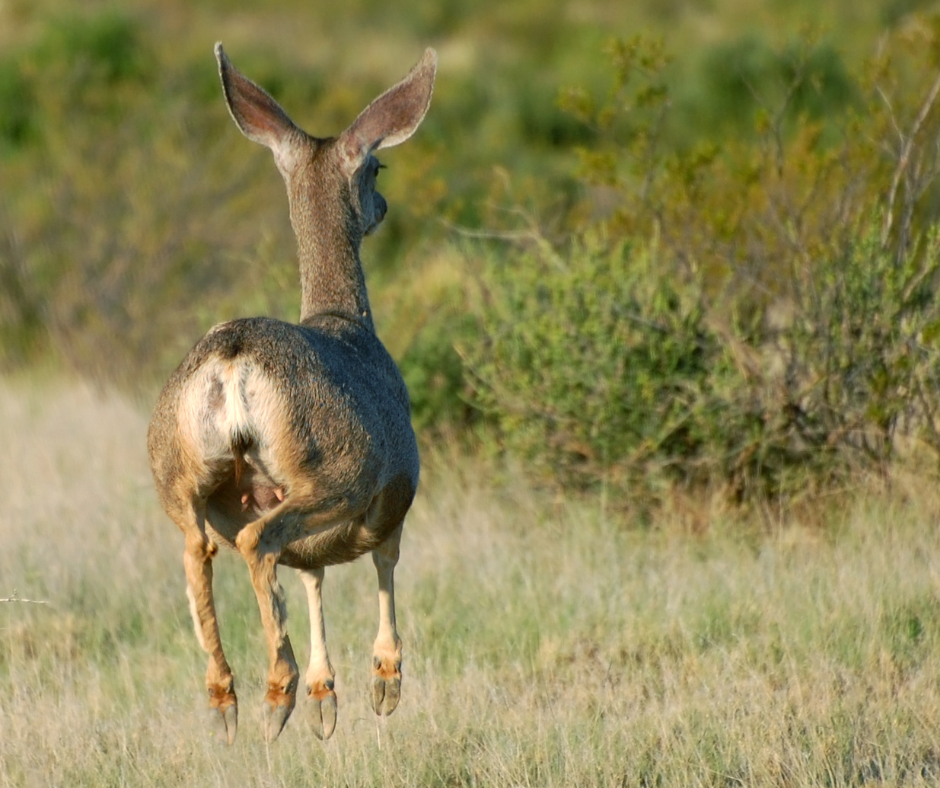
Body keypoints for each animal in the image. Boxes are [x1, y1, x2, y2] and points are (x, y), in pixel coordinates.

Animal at [147, 42, 436, 744]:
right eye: (378, 164)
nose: (385, 207)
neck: (346, 320)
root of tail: (230, 362)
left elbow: (313, 575)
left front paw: (326, 698)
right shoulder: (398, 488)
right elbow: (384, 561)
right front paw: (383, 682)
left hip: (176, 473)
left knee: (199, 550)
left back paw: (226, 699)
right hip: (334, 468)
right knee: (259, 541)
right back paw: (274, 692)